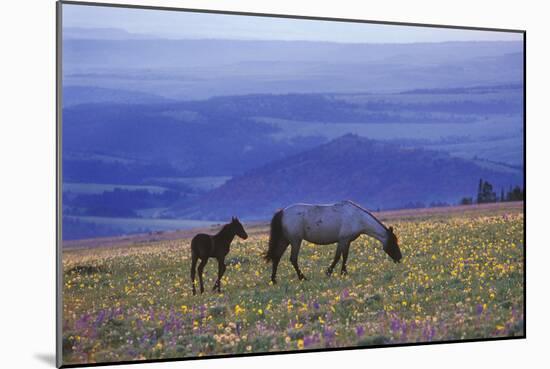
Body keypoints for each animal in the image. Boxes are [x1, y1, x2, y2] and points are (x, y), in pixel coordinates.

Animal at [266, 200, 404, 284]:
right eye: (393, 242)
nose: (399, 258)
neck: (357, 218)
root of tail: (282, 212)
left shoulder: (347, 241)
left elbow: (344, 256)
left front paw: (343, 272)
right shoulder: (343, 240)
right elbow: (338, 256)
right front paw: (330, 272)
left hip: (285, 240)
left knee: (276, 257)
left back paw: (273, 280)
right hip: (295, 241)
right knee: (293, 259)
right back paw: (302, 277)